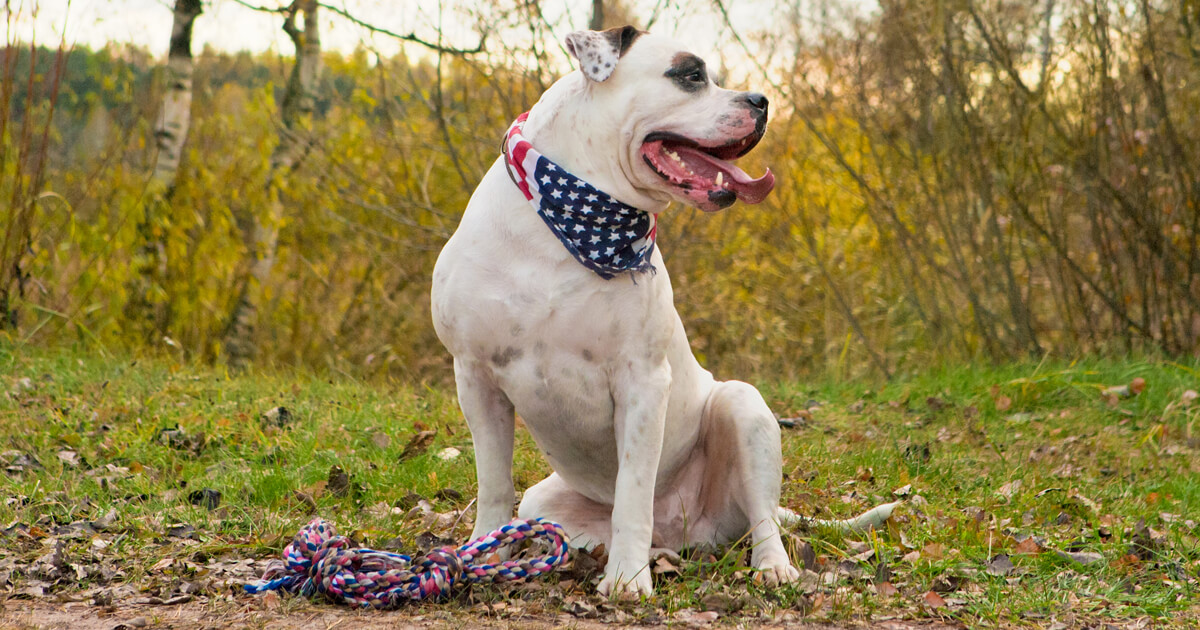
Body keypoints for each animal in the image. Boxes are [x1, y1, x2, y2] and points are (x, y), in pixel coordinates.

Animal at [432, 25, 892, 595]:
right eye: (690, 74)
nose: (761, 101)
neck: (570, 228)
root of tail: (686, 529)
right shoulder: (476, 378)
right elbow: (494, 483)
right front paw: (484, 554)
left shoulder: (642, 382)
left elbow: (633, 493)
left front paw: (628, 581)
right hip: (547, 497)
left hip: (743, 410)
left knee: (763, 516)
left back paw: (771, 566)